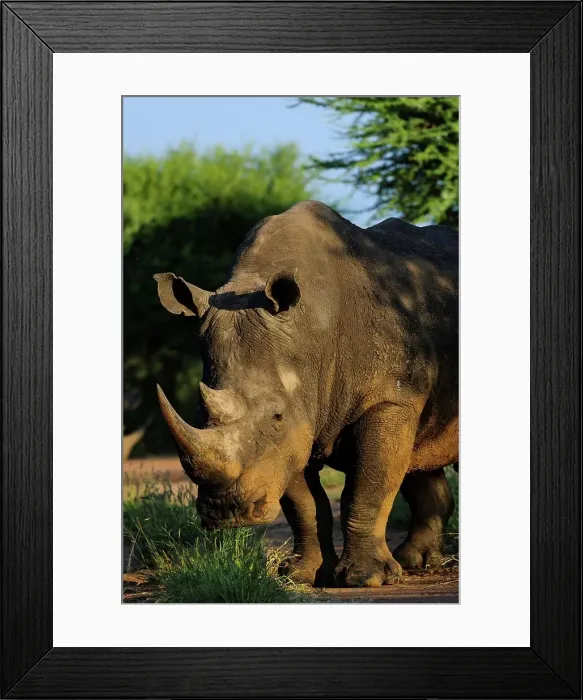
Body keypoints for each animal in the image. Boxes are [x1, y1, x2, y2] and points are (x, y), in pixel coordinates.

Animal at [154, 201, 458, 587]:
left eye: (276, 416)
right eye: (199, 412)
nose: (226, 511)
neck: (310, 329)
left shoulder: (387, 398)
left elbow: (370, 483)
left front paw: (365, 580)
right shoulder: (299, 422)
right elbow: (303, 501)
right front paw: (303, 575)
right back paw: (417, 562)